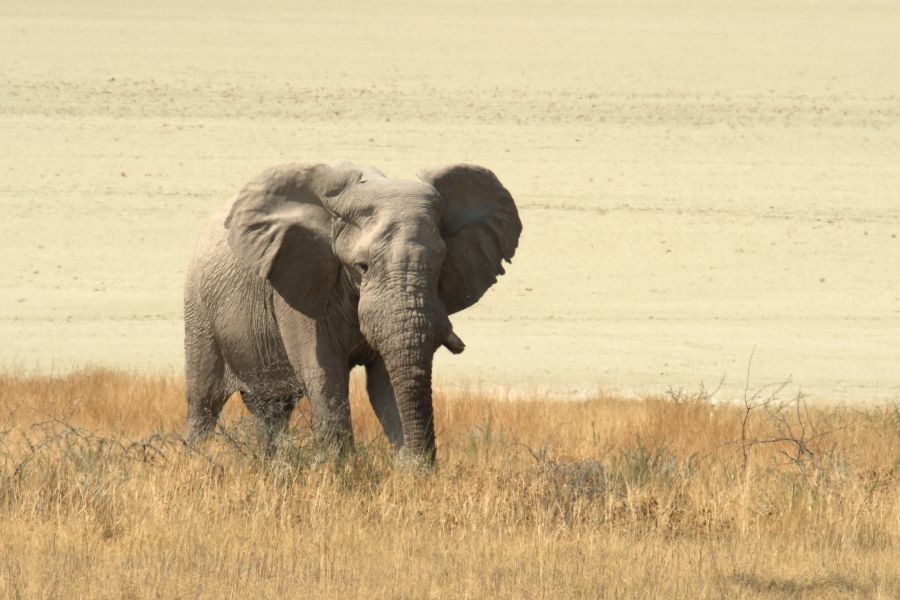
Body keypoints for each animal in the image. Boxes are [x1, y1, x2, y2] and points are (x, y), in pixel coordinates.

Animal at [183, 161, 521, 464]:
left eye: (440, 265)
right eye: (362, 266)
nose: (421, 465)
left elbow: (385, 384)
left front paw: (411, 476)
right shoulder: (301, 282)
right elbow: (324, 374)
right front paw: (341, 475)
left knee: (271, 411)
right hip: (198, 310)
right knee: (204, 403)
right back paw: (195, 464)